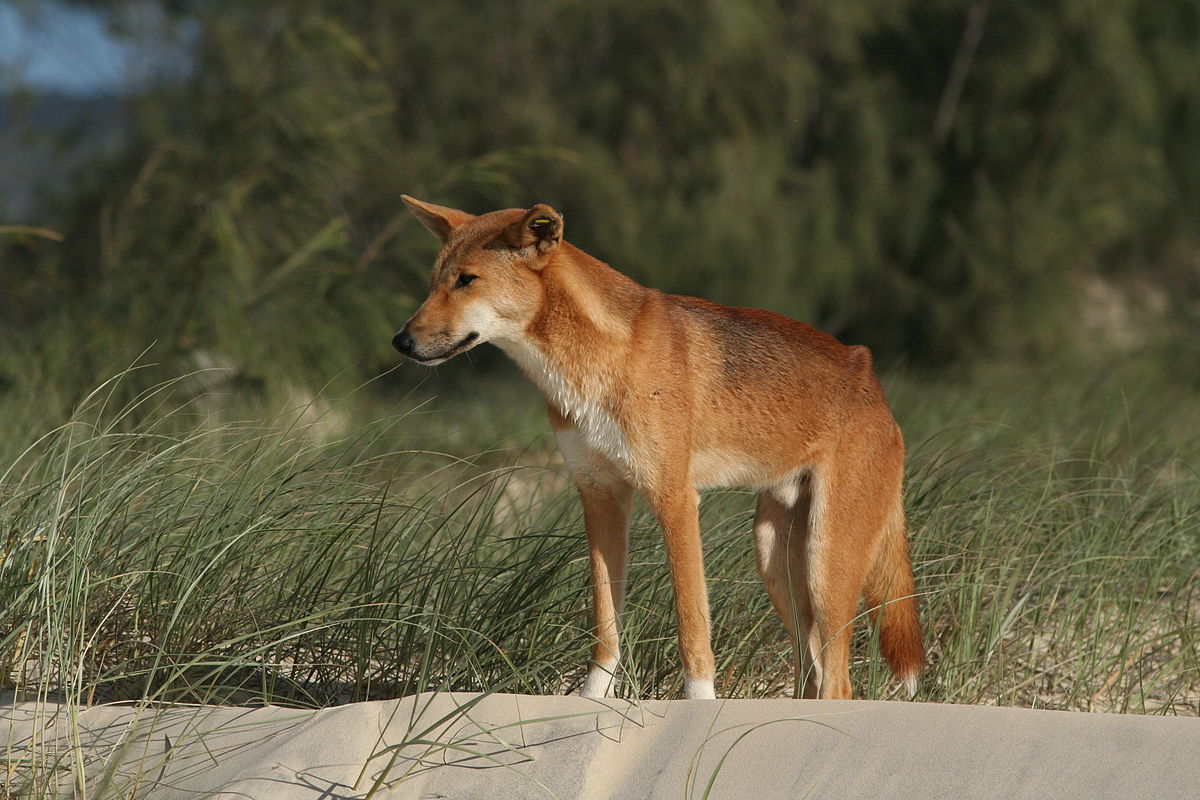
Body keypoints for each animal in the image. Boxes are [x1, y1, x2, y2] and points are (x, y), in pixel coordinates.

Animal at [388, 196, 921, 695]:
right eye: (434, 281)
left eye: (466, 280)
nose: (401, 341)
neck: (595, 360)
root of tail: (870, 378)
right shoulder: (599, 497)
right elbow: (606, 627)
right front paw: (591, 701)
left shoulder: (675, 499)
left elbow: (692, 628)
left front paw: (699, 707)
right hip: (775, 562)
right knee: (811, 674)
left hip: (824, 564)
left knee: (839, 683)